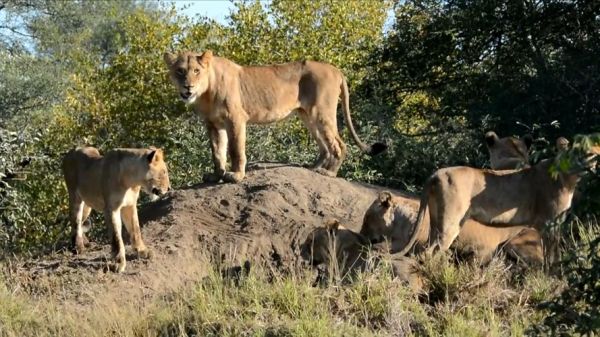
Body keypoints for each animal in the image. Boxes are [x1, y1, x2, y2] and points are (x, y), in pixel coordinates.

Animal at [164, 49, 386, 184]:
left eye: (196, 70)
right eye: (180, 71)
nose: (188, 86)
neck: (206, 93)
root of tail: (335, 69)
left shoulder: (236, 119)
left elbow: (235, 150)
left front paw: (236, 175)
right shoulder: (212, 124)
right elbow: (217, 152)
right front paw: (215, 176)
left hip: (322, 112)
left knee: (339, 144)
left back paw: (329, 172)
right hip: (307, 115)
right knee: (324, 145)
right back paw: (312, 167)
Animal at [396, 136, 596, 258]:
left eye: (594, 153)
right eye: (581, 153)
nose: (590, 166)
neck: (570, 178)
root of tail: (436, 174)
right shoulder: (549, 224)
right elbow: (553, 257)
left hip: (436, 220)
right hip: (450, 223)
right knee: (430, 252)